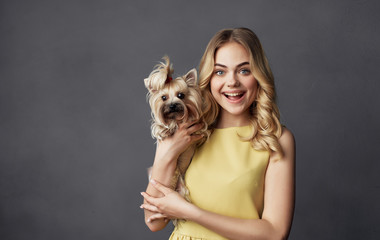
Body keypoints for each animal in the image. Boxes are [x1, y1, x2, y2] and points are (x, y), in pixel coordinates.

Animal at [144, 55, 208, 221]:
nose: (172, 105)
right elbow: (160, 126)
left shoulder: (199, 128)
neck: (176, 118)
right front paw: (165, 129)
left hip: (182, 190)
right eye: (163, 97)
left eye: (181, 95)